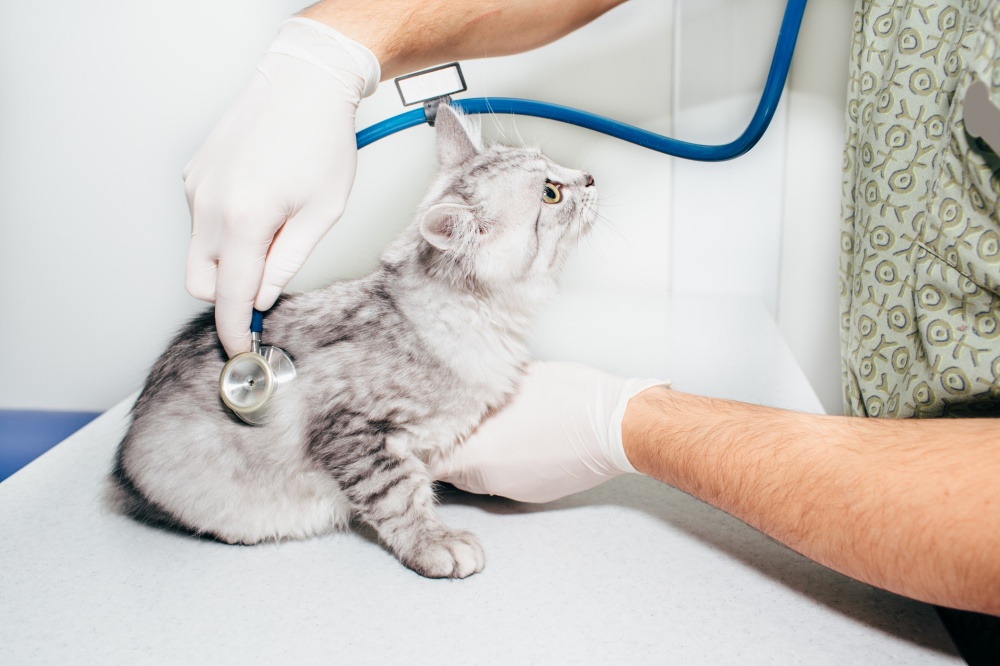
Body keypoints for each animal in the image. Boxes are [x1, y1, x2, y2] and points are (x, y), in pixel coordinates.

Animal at [109, 104, 592, 576]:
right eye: (551, 193)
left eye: (554, 166)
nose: (588, 177)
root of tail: (120, 471)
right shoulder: (354, 431)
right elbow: (399, 495)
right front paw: (434, 542)